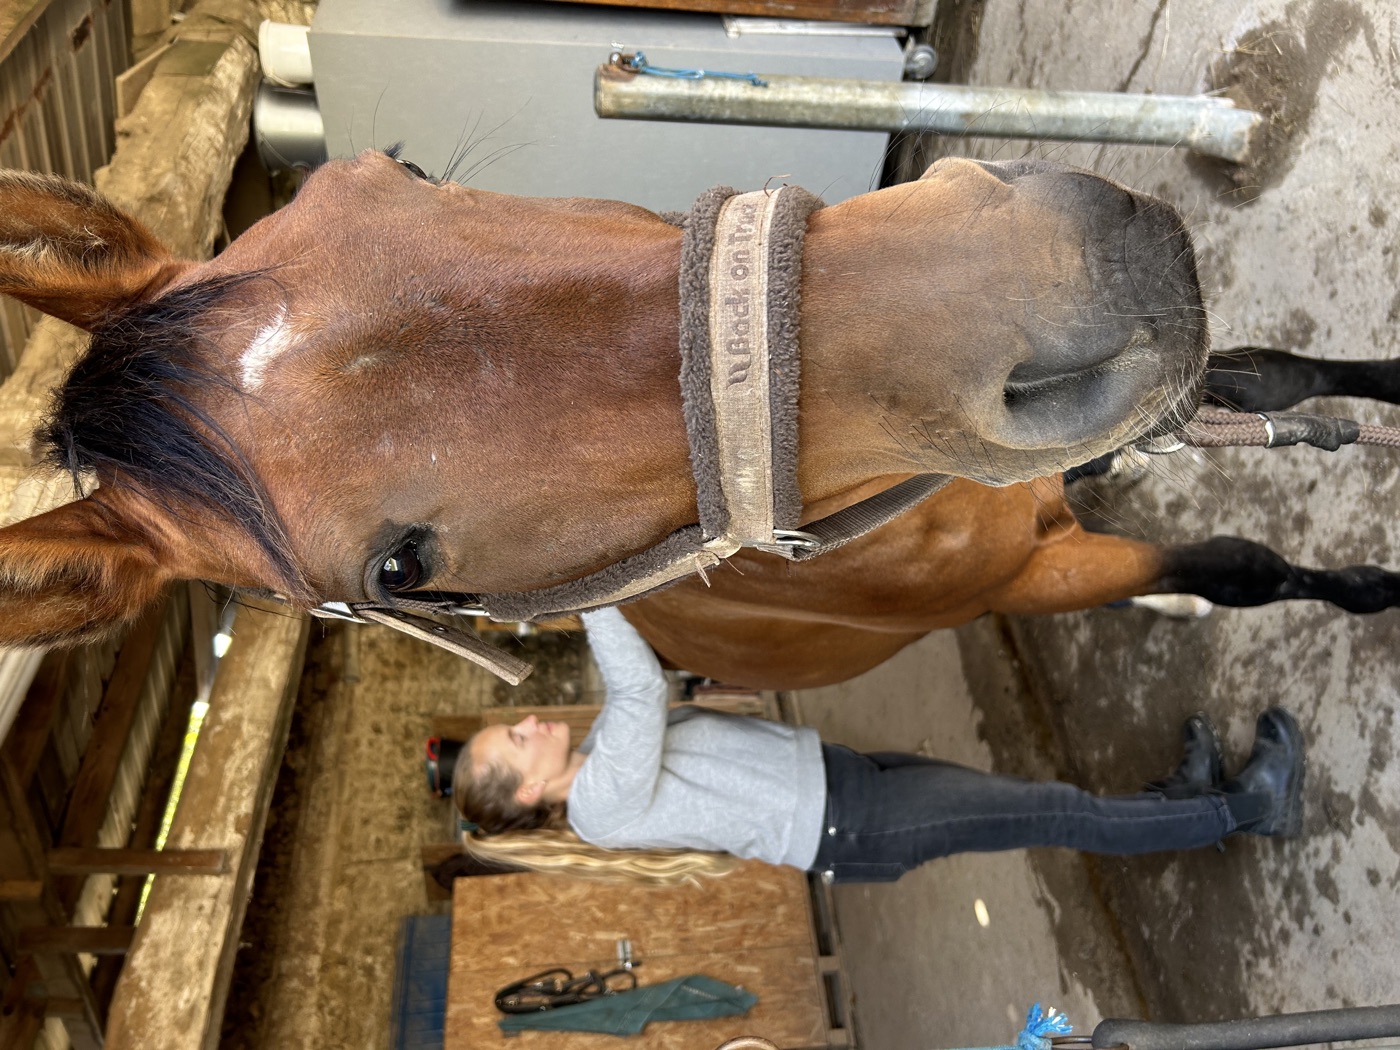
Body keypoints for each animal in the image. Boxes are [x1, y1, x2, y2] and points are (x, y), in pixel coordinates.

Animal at [0, 152, 1394, 689]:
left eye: (400, 169)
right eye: (396, 570)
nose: (1063, 278)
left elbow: (1276, 379)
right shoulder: (1021, 578)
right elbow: (1242, 564)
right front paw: (1371, 591)